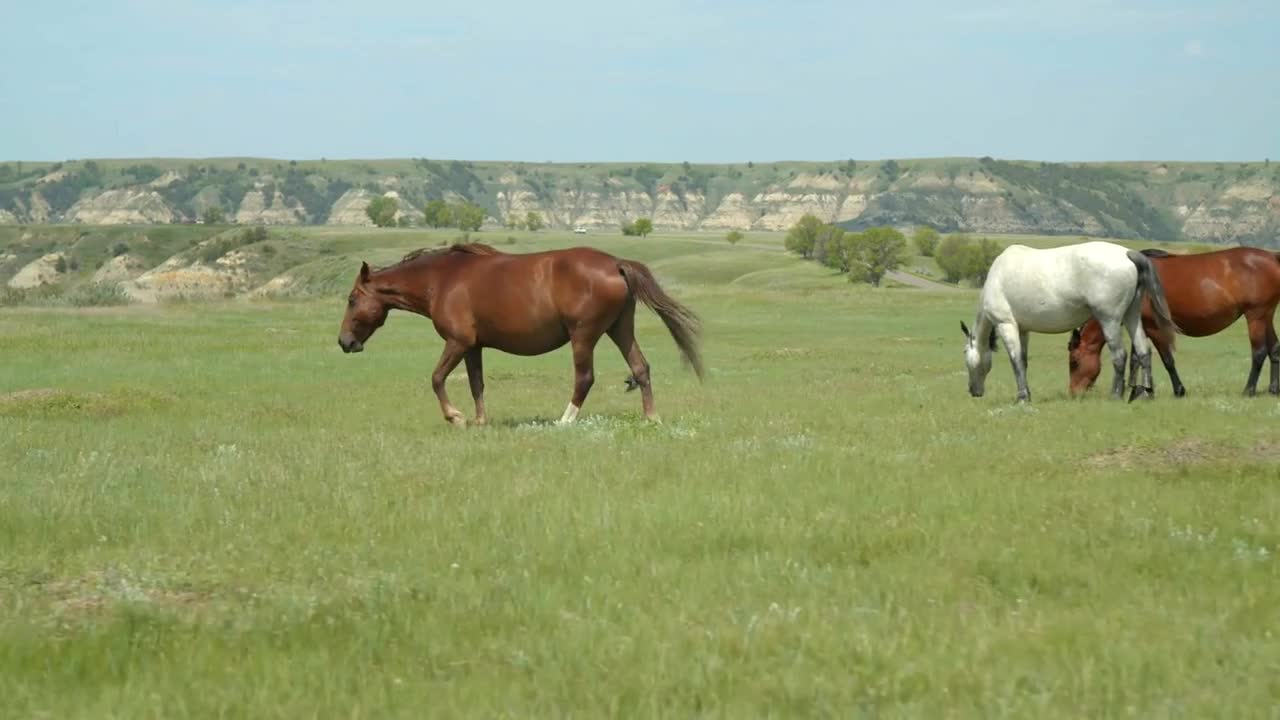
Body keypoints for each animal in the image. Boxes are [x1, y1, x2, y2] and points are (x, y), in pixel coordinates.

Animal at [335, 240, 706, 422]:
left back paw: (565, 420)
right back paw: (652, 419)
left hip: (584, 336)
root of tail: (616, 264)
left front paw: (454, 416)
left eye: (352, 299)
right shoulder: (473, 347)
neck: (442, 280)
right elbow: (476, 384)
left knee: (584, 378)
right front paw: (480, 422)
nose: (344, 342)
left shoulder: (457, 342)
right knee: (641, 369)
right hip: (620, 328)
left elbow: (437, 378)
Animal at [962, 239, 1177, 397]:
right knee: (1143, 351)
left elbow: (1015, 361)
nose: (973, 391)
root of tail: (1128, 254)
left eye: (965, 353)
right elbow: (1022, 361)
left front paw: (1022, 397)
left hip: (1110, 320)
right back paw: (1146, 393)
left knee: (1119, 355)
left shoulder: (1006, 325)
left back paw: (1116, 395)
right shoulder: (1023, 329)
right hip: (1132, 316)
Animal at [1064, 244, 1280, 392]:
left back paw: (1248, 390)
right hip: (1266, 315)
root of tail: (1273, 256)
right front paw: (1137, 390)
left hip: (1256, 316)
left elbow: (1167, 360)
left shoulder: (1154, 328)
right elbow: (1137, 359)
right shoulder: (1140, 326)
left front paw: (1177, 390)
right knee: (1274, 349)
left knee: (1259, 352)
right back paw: (1273, 389)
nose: (1074, 393)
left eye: (1074, 362)